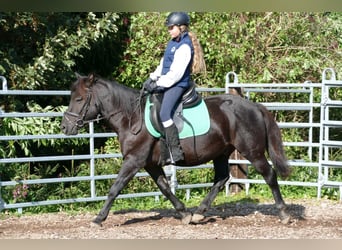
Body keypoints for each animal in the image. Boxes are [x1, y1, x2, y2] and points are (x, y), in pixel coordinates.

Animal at [60, 73, 292, 227]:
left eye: (79, 99)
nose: (64, 127)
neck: (131, 117)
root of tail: (255, 107)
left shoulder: (133, 161)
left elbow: (115, 188)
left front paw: (99, 218)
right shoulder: (150, 164)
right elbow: (164, 187)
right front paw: (184, 213)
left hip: (252, 152)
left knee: (269, 175)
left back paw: (284, 214)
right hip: (221, 153)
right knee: (221, 178)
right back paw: (199, 213)